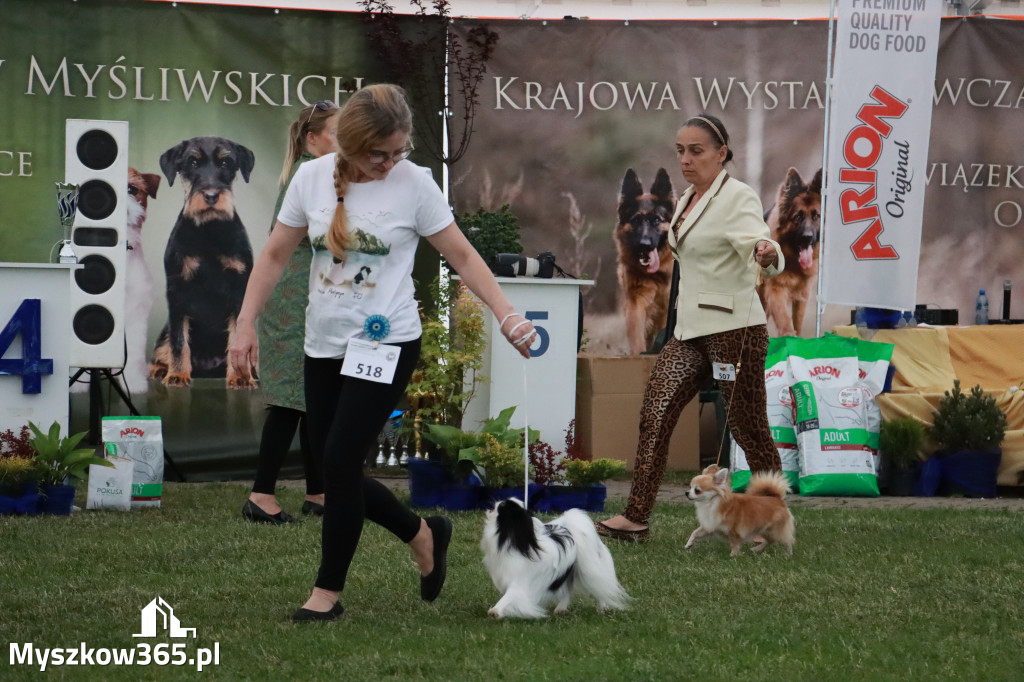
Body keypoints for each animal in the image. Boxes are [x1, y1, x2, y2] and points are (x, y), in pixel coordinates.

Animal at [481, 497, 630, 618]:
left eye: (502, 507)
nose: (497, 502)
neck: (514, 542)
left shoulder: (519, 584)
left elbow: (508, 597)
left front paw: (495, 611)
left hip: (591, 571)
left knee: (600, 588)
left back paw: (601, 608)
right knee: (568, 590)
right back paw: (561, 609)